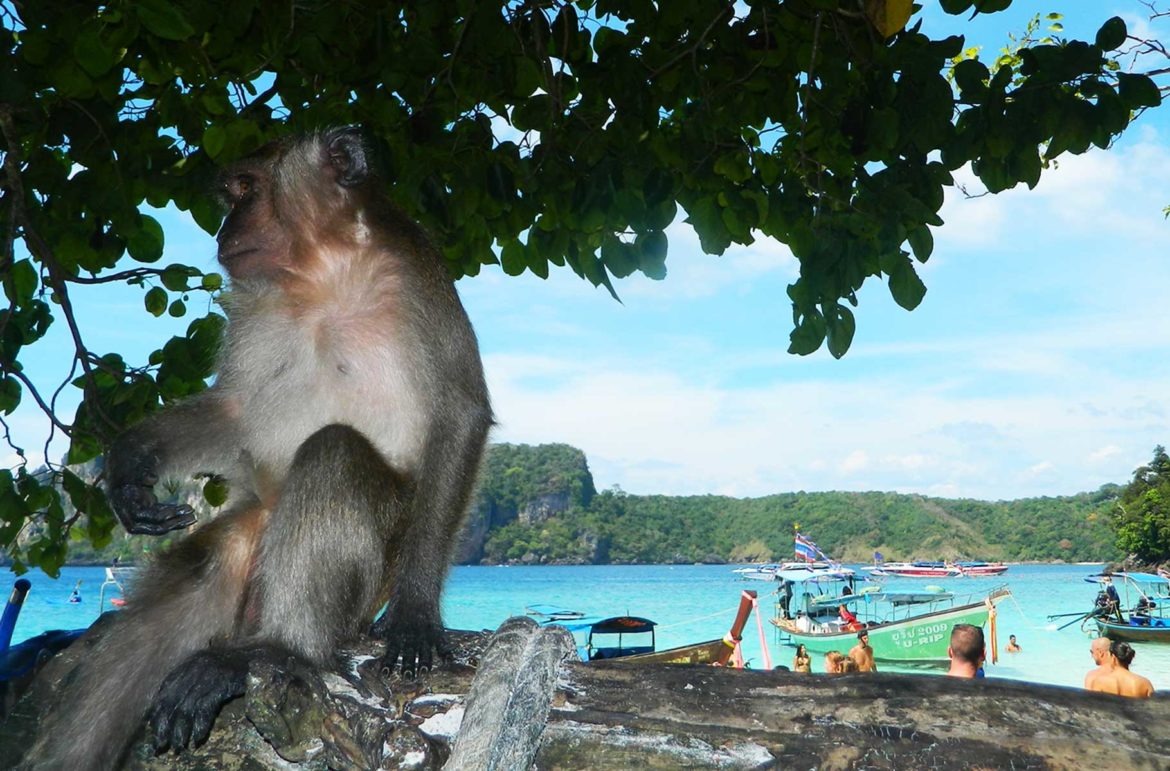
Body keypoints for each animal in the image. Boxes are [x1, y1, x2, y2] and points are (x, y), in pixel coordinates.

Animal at [23, 125, 489, 767]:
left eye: (247, 188)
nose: (225, 228)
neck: (322, 269)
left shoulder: (417, 276)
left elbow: (459, 415)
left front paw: (416, 612)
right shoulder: (252, 305)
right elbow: (236, 411)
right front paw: (132, 460)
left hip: (375, 570)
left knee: (335, 454)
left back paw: (276, 650)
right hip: (254, 527)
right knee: (199, 569)